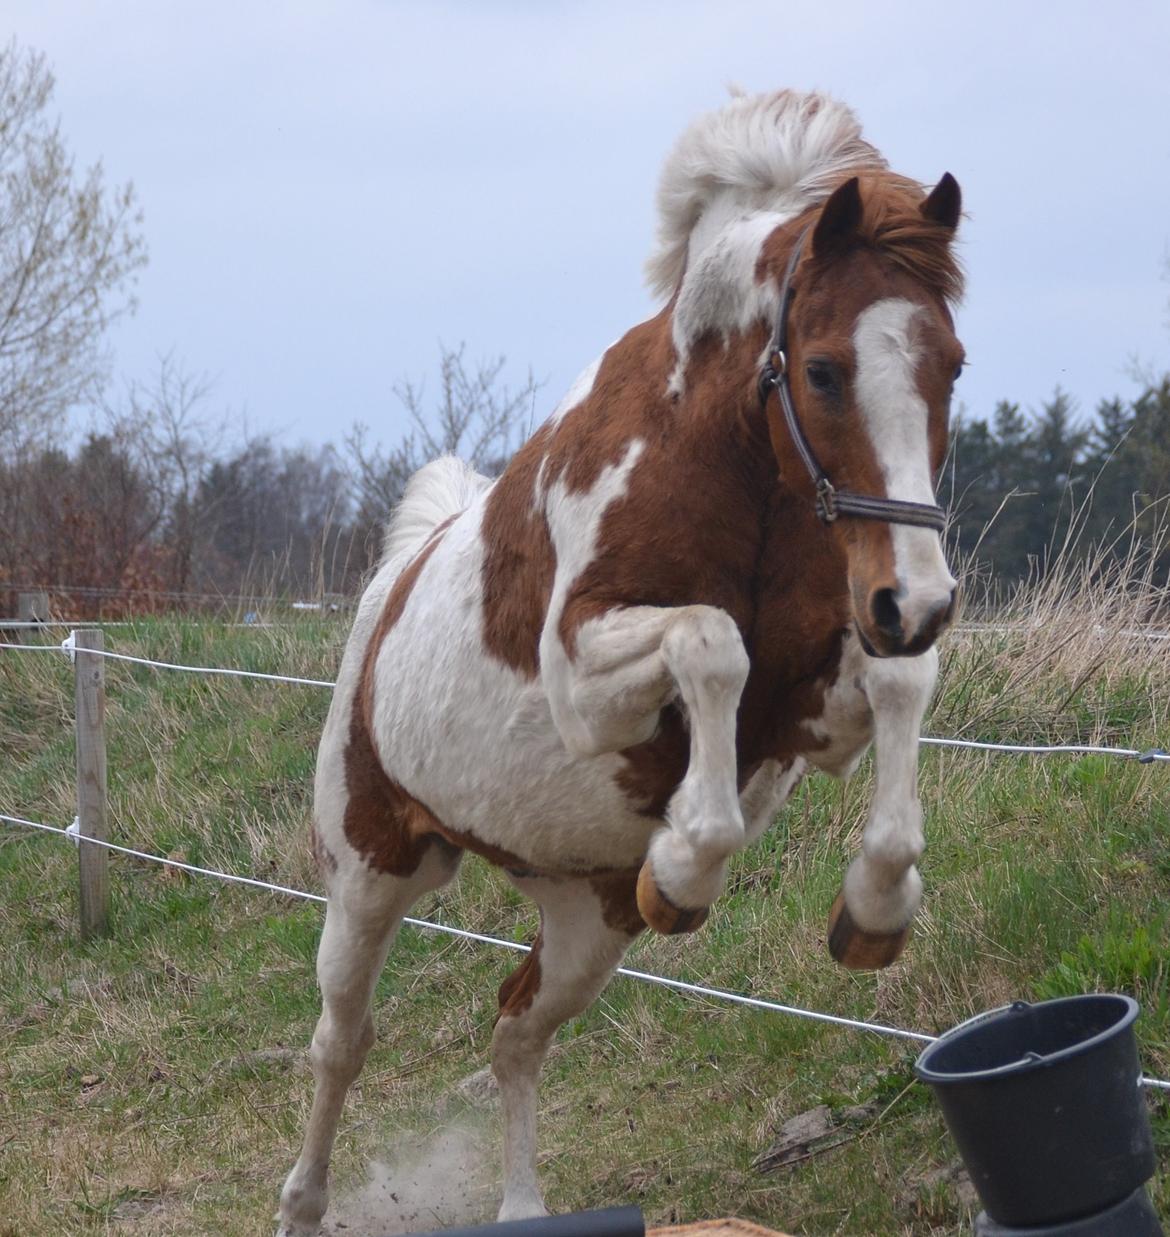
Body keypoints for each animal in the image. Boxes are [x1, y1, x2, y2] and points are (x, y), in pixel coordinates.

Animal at [278, 89, 964, 1237]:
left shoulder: (817, 703)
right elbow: (710, 641)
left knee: (515, 1030)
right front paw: (689, 861)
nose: (917, 602)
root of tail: (390, 590)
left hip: (587, 915)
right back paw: (302, 1201)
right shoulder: (586, 681)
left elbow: (897, 684)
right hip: (372, 871)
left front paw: (872, 908)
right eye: (824, 370)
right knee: (343, 1042)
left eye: (951, 365)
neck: (717, 455)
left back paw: (521, 1204)